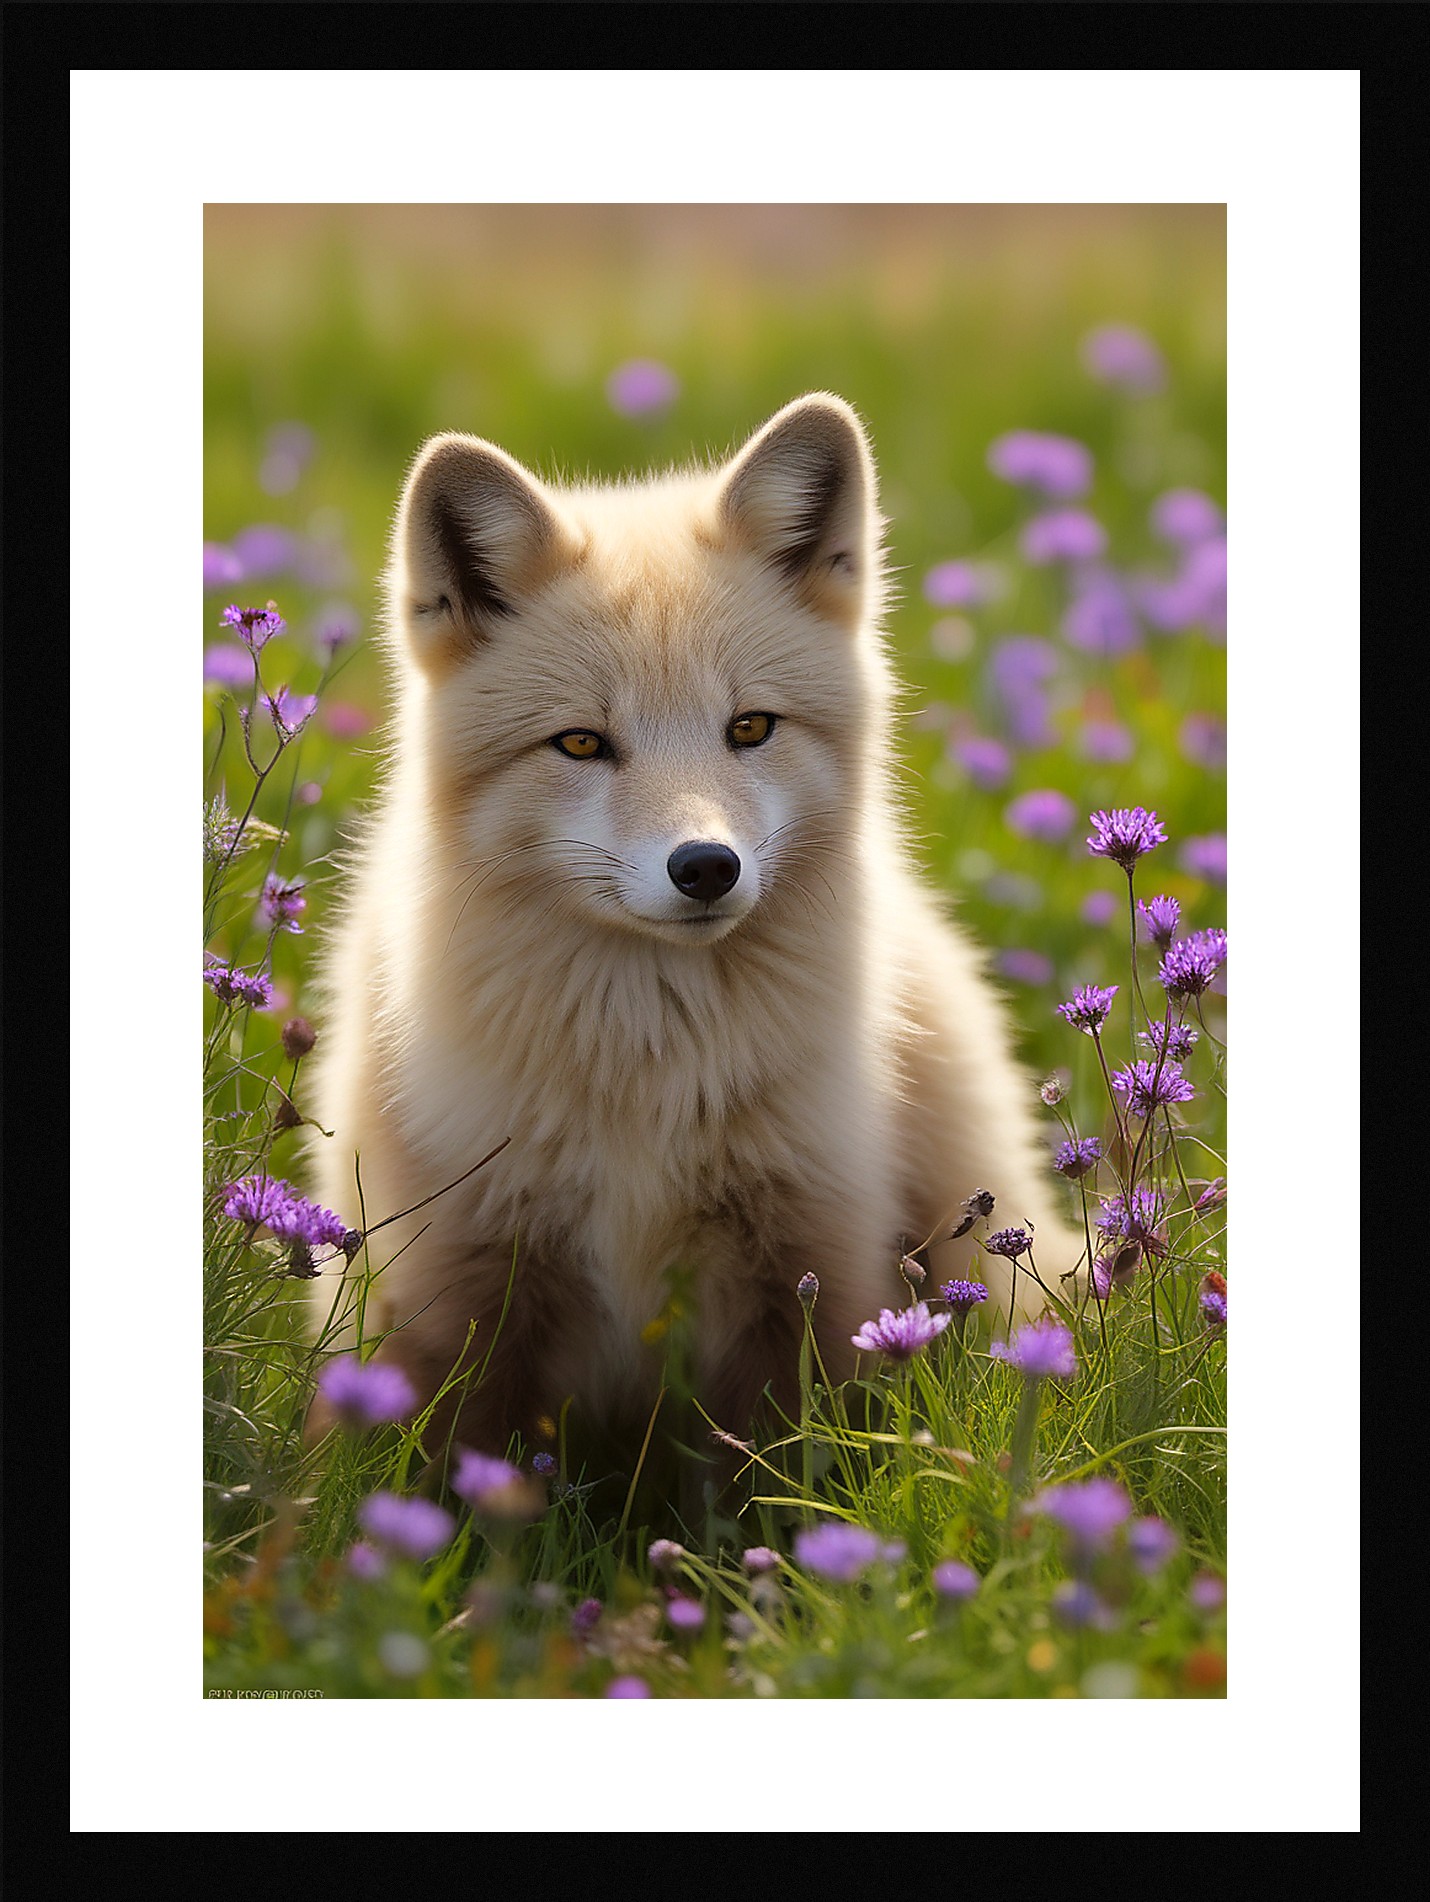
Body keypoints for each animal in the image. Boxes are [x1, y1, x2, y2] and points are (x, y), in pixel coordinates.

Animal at [306, 392, 1080, 1475]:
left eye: (749, 728)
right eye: (581, 743)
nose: (706, 867)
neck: (649, 1081)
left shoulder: (809, 1275)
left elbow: (782, 1486)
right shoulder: (458, 1287)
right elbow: (448, 1483)